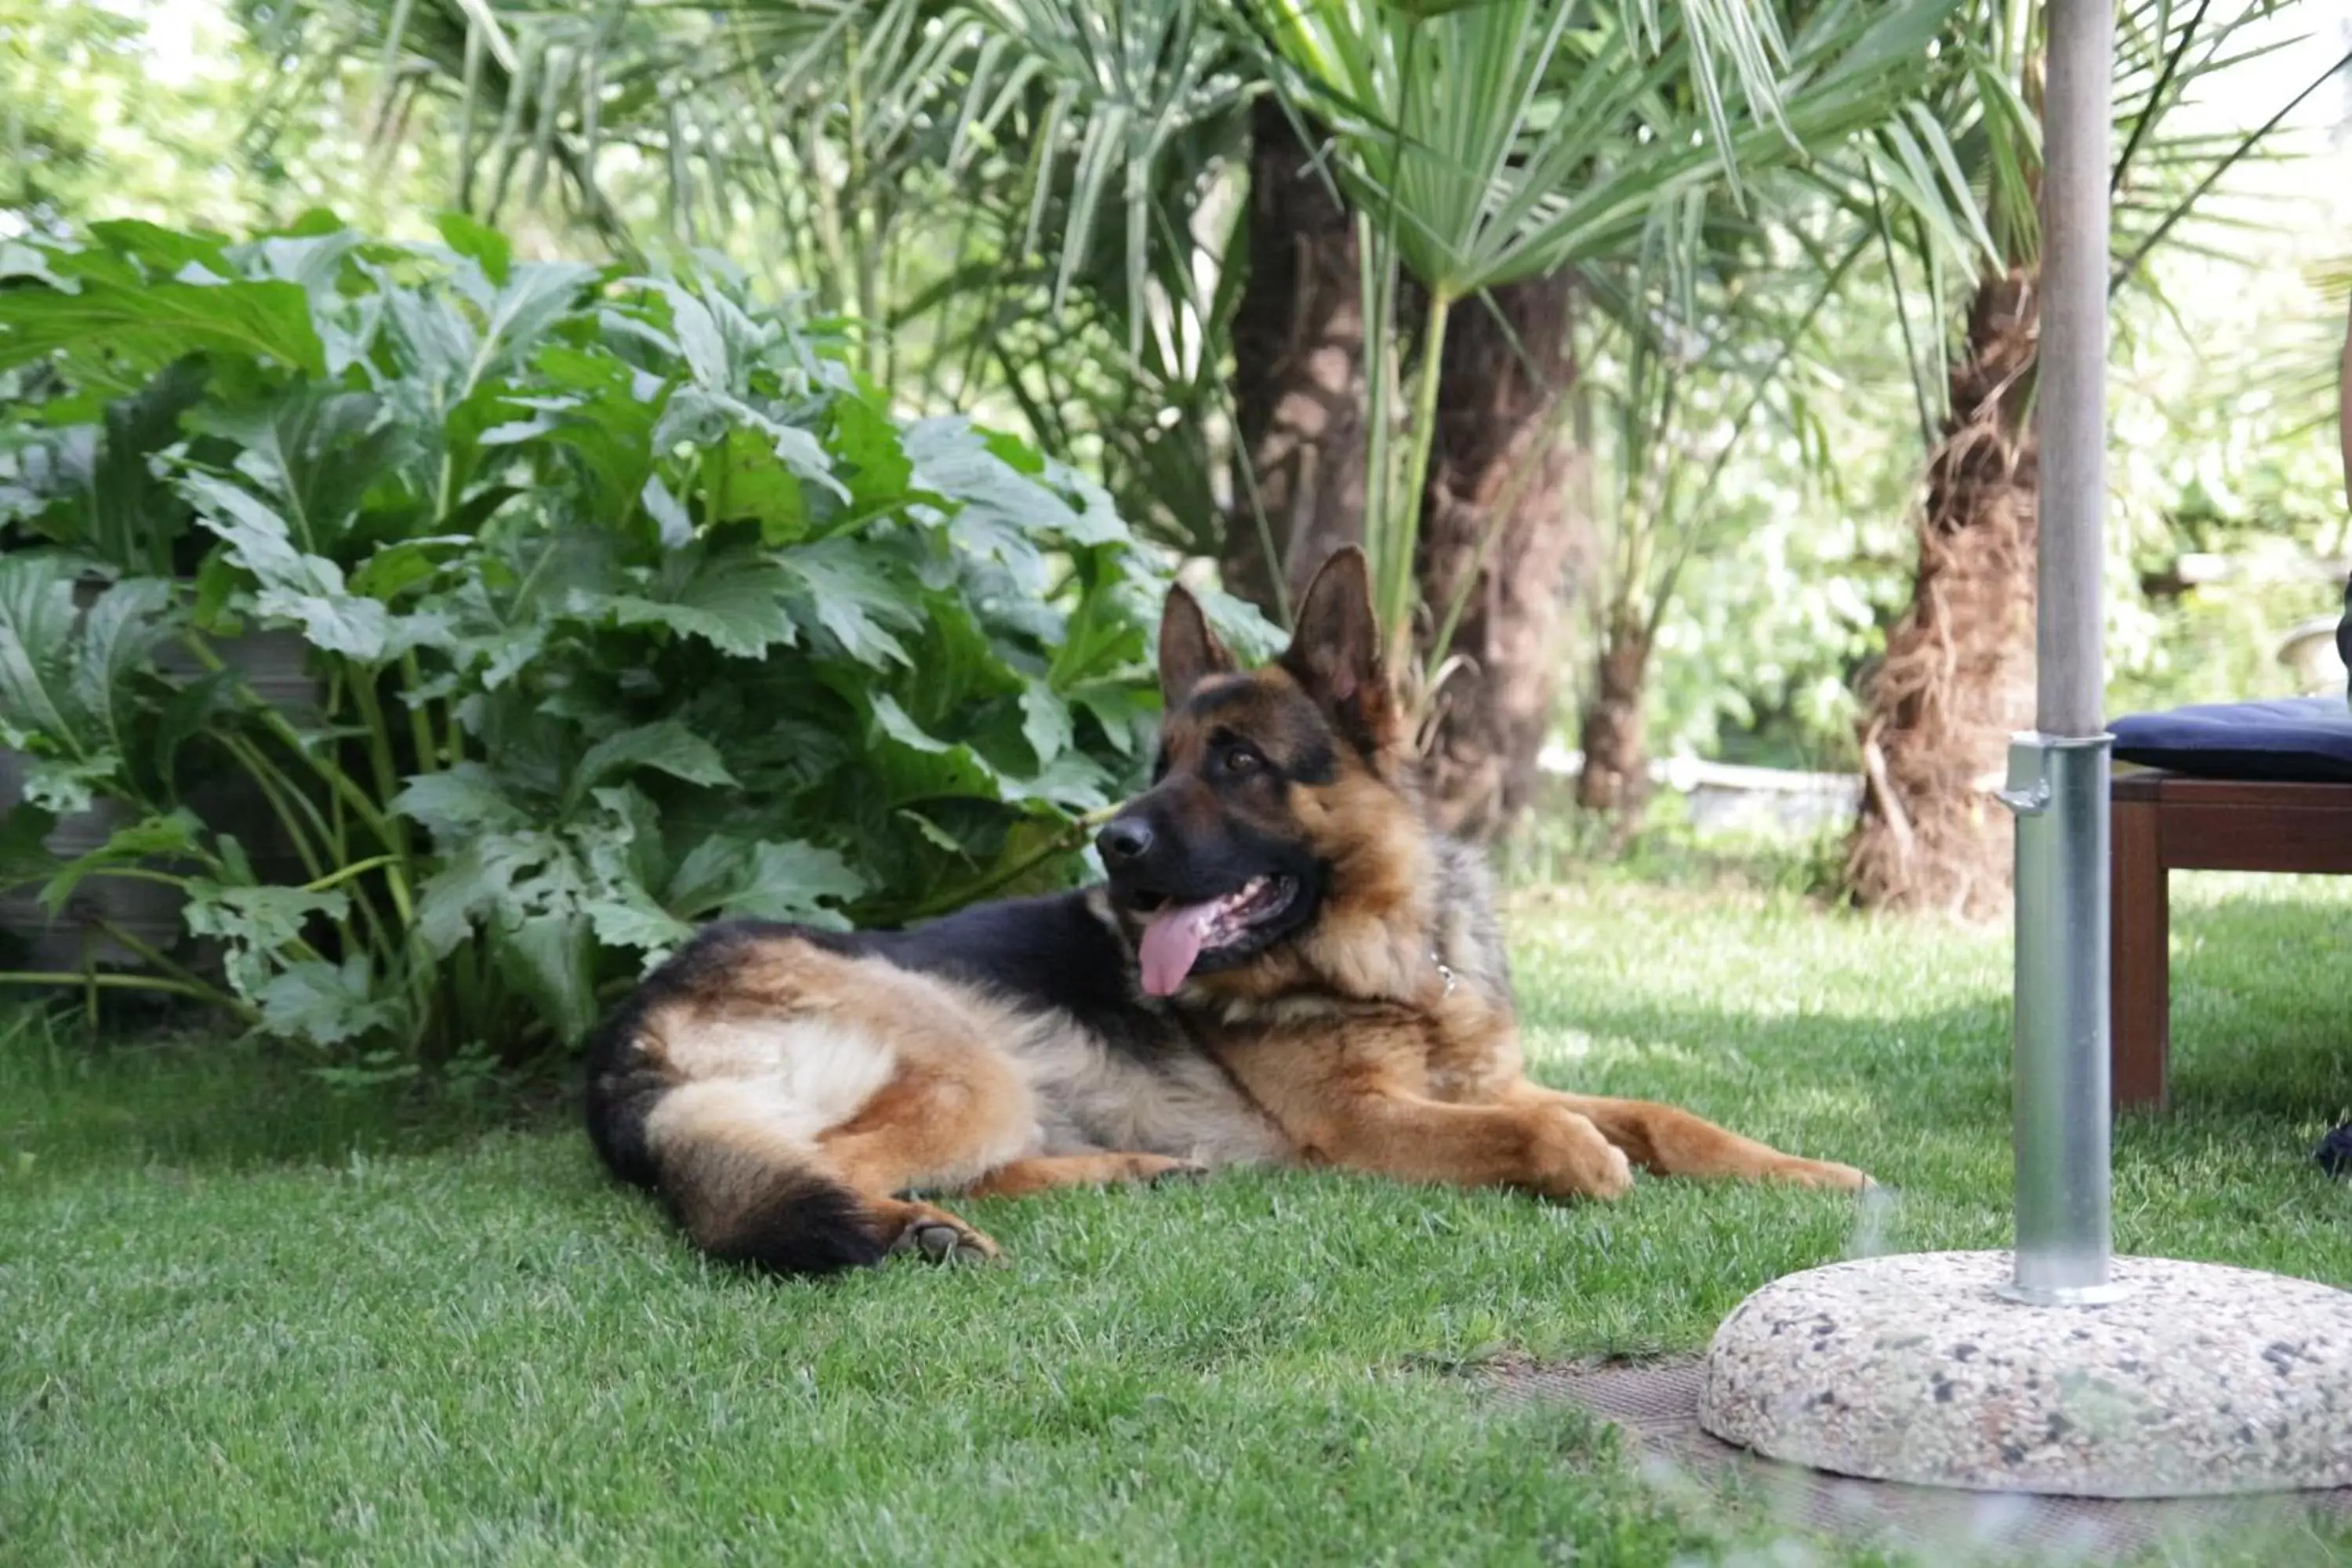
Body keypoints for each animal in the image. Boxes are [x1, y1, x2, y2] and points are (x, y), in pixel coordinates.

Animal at [593, 552, 1872, 1279]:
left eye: (1239, 761)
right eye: (1159, 764)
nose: (1112, 846)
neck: (1395, 962)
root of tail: (628, 1027)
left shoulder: (1490, 1078)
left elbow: (1663, 1112)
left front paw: (1804, 1169)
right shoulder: (1364, 1127)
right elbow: (1551, 1133)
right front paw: (1583, 1161)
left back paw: (1123, 1174)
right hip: (966, 1065)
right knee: (807, 1168)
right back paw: (916, 1230)